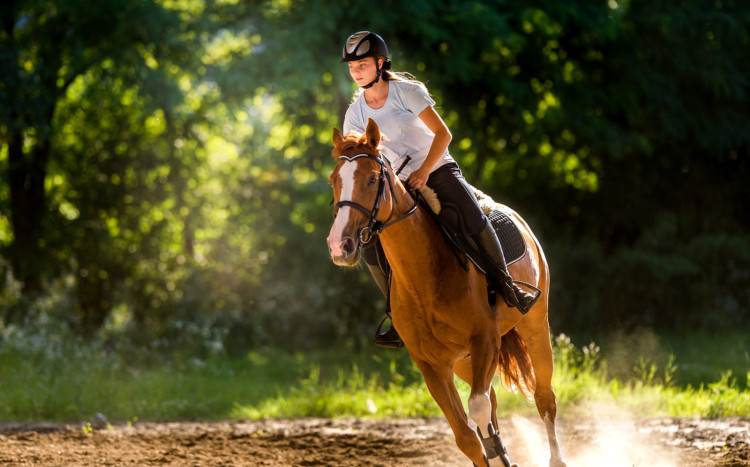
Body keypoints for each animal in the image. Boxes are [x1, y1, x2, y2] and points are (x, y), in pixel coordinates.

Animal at [326, 118, 568, 467]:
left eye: (372, 179)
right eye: (334, 181)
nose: (339, 245)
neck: (423, 279)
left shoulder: (485, 341)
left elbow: (477, 409)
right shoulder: (431, 364)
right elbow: (467, 436)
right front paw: (494, 453)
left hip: (534, 327)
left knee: (543, 396)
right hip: (465, 360)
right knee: (492, 402)